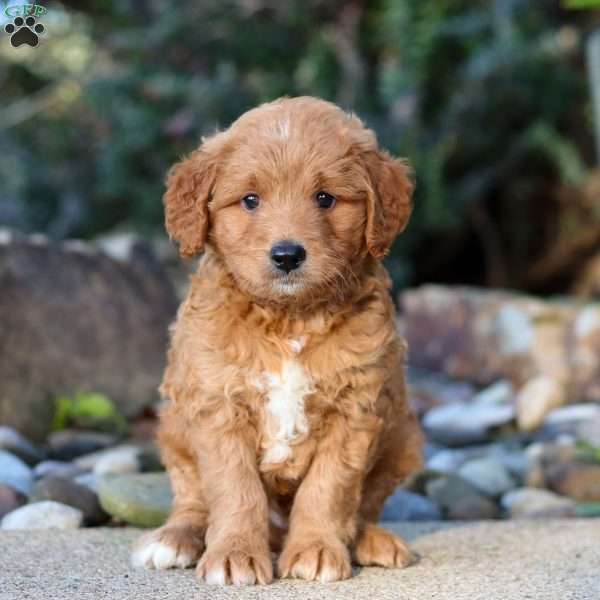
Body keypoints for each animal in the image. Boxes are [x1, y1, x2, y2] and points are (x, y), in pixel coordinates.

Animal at [132, 96, 422, 584]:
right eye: (250, 200)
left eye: (325, 198)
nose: (287, 255)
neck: (290, 320)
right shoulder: (217, 404)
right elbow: (235, 489)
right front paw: (233, 554)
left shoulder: (356, 409)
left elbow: (330, 488)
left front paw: (317, 549)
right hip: (173, 430)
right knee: (192, 500)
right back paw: (173, 539)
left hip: (403, 436)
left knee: (366, 506)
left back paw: (372, 540)